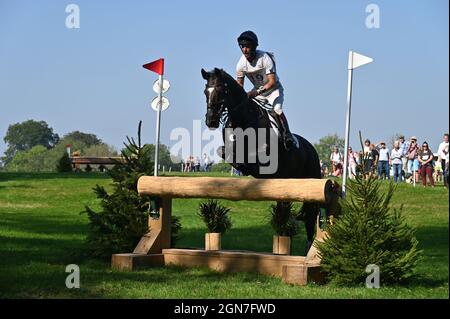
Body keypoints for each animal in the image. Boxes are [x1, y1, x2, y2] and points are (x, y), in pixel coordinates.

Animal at [200, 67, 324, 250]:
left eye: (221, 91)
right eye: (205, 92)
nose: (211, 121)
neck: (243, 121)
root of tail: (312, 149)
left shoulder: (263, 157)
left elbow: (249, 159)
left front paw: (243, 166)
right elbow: (224, 152)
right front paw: (239, 166)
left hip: (311, 182)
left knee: (309, 215)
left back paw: (308, 246)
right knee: (285, 210)